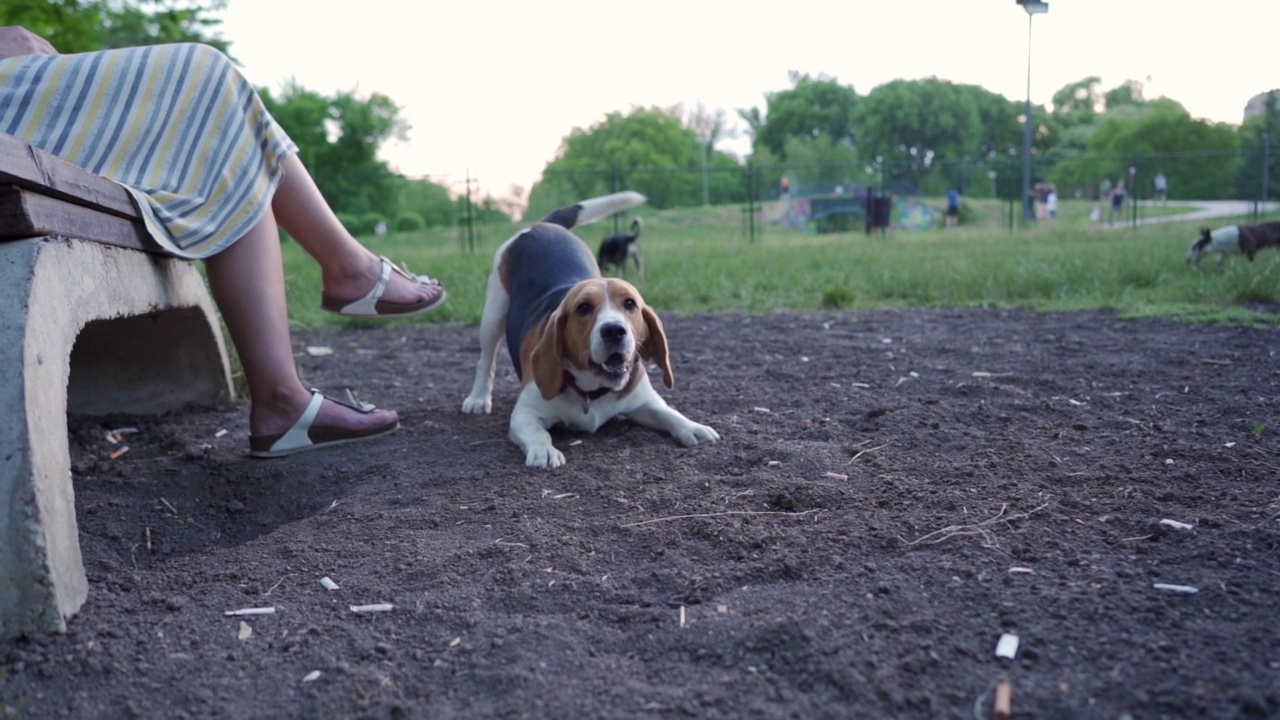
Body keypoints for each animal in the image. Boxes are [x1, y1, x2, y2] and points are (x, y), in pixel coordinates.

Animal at [460, 190, 721, 468]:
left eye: (630, 304)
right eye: (583, 308)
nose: (614, 331)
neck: (591, 391)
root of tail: (542, 226)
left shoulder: (645, 403)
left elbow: (669, 413)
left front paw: (692, 427)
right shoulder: (525, 413)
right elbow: (538, 433)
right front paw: (544, 451)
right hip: (493, 314)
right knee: (486, 360)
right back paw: (478, 399)